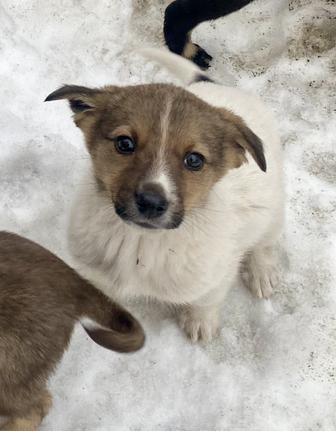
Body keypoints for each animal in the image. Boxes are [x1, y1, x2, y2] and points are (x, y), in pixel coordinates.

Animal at [46, 47, 284, 344]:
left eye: (194, 160)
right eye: (125, 143)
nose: (151, 203)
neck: (141, 242)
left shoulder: (217, 273)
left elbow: (205, 301)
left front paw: (200, 322)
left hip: (273, 210)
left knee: (264, 243)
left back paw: (262, 273)